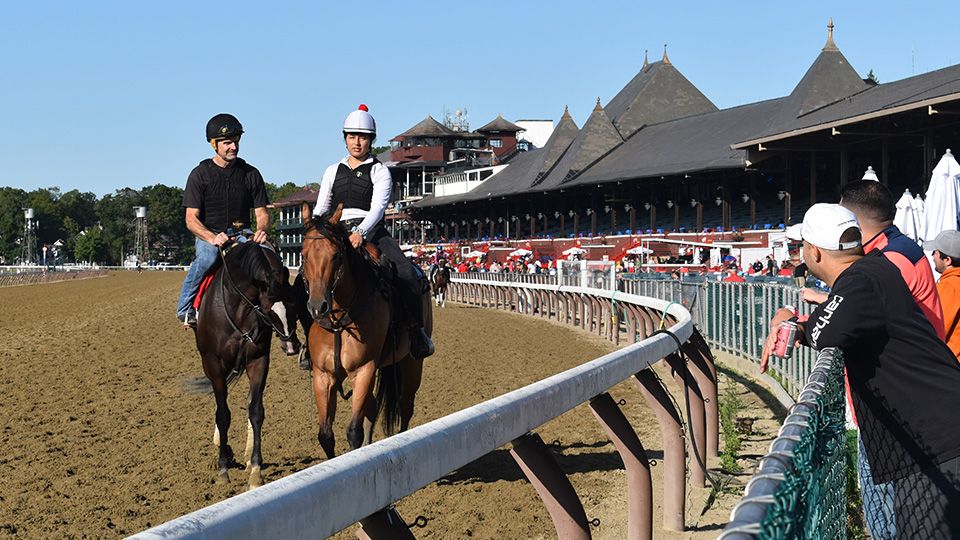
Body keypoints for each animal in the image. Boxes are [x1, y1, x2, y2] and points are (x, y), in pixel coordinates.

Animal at [191, 240, 300, 490]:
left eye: (294, 304)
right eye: (269, 310)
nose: (291, 347)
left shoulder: (258, 360)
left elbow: (256, 410)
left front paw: (256, 471)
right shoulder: (213, 362)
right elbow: (223, 414)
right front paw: (223, 469)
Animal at [298, 204, 430, 460]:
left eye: (336, 255)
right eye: (303, 254)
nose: (317, 307)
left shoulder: (364, 370)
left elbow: (354, 432)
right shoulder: (323, 376)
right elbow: (326, 436)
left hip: (411, 364)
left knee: (405, 407)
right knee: (373, 408)